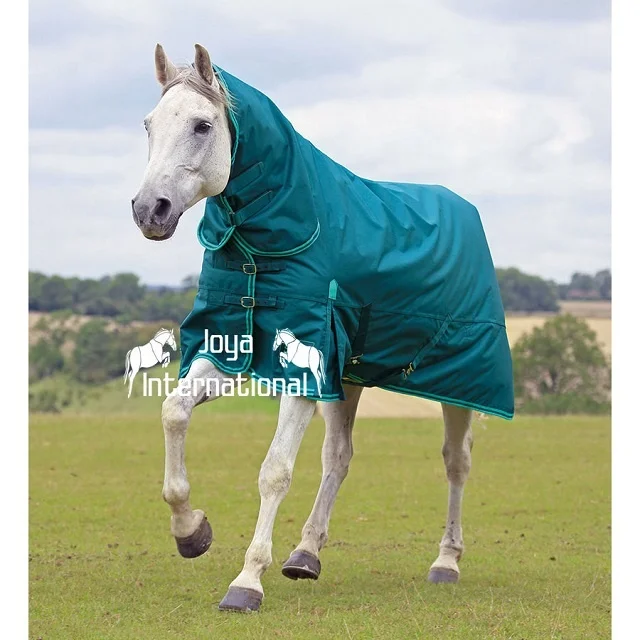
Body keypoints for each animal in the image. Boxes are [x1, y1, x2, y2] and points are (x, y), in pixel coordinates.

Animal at [131, 43, 508, 612]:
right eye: (150, 124)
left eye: (201, 125)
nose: (149, 210)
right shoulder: (231, 350)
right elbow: (173, 412)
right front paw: (191, 531)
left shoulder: (301, 372)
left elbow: (274, 471)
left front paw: (246, 582)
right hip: (346, 379)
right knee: (339, 457)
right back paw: (305, 555)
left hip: (459, 383)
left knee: (455, 462)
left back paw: (446, 562)